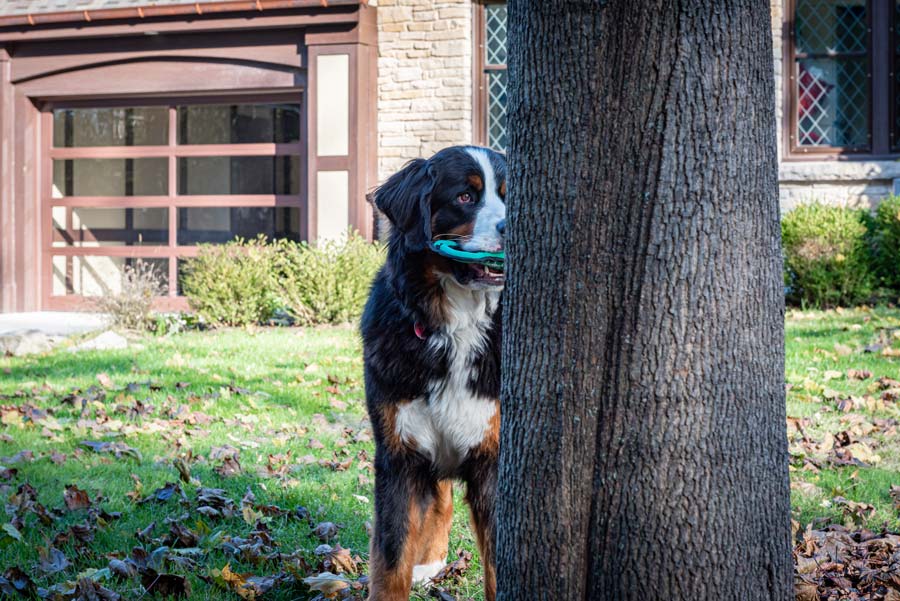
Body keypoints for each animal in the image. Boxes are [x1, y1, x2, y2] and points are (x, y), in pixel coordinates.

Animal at [362, 146, 510, 600]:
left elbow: (497, 565)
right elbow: (390, 559)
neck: (455, 327)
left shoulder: (493, 458)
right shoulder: (399, 454)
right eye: (465, 196)